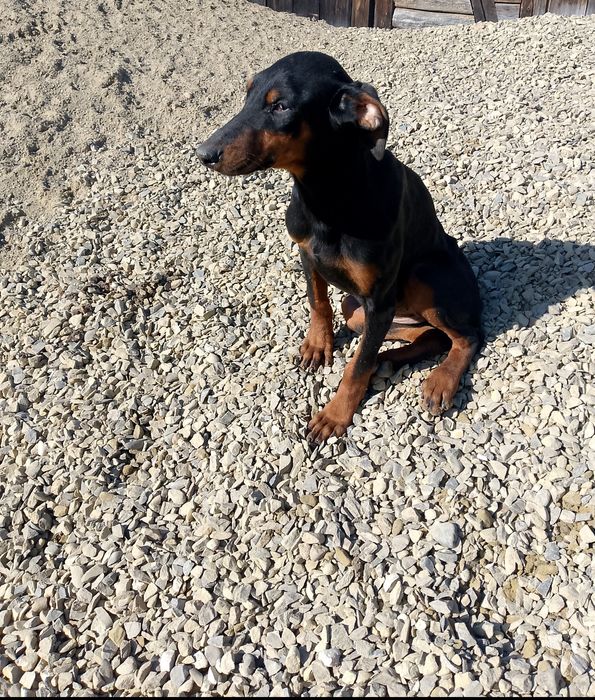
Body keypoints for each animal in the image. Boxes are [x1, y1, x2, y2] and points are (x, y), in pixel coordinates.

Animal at [197, 51, 482, 442]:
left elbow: (355, 369)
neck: (326, 196)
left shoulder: (379, 301)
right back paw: (388, 360)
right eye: (247, 97)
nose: (203, 153)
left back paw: (439, 381)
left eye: (281, 106)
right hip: (357, 310)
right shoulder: (308, 255)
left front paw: (334, 415)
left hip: (424, 277)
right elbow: (318, 303)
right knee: (429, 337)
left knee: (466, 337)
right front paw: (318, 346)